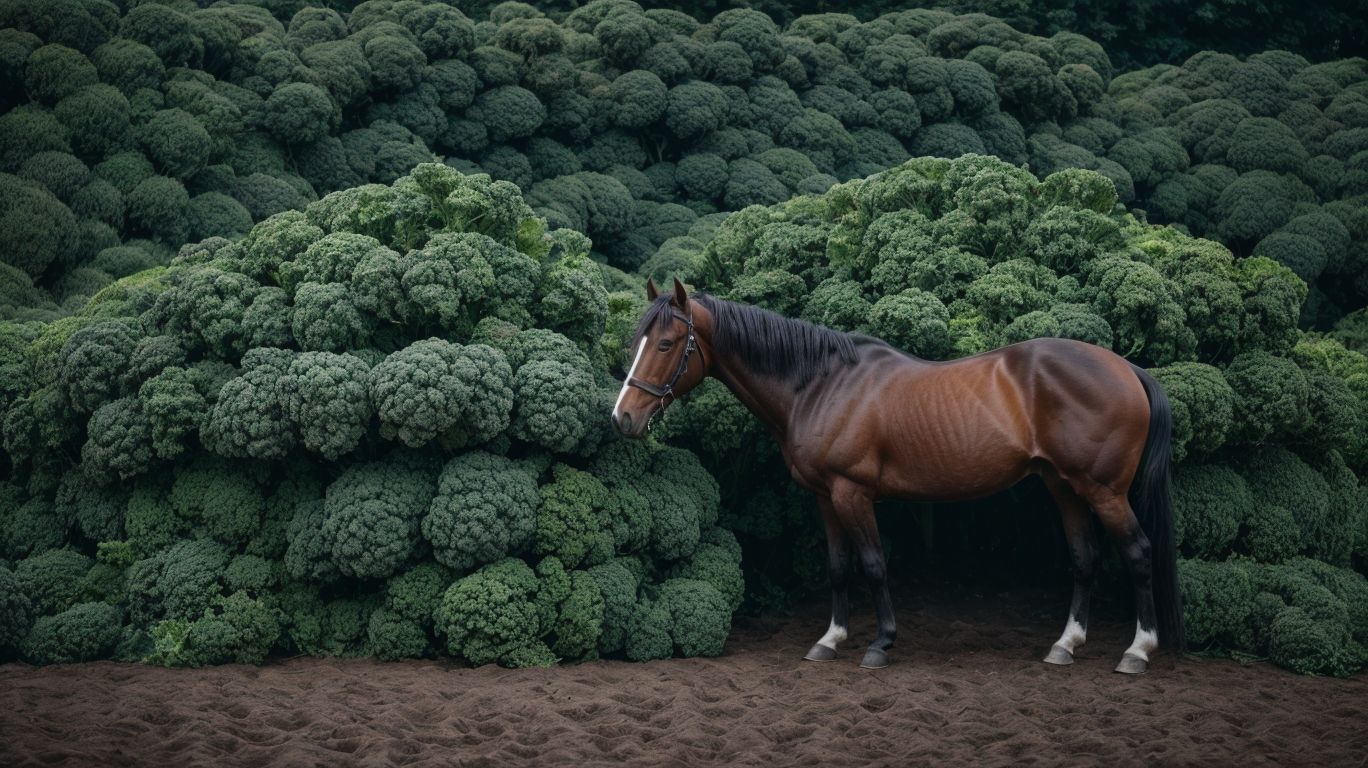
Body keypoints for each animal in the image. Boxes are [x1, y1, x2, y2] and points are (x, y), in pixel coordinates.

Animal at [612, 278, 1184, 674]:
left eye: (666, 344)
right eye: (640, 340)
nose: (623, 418)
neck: (819, 384)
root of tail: (1127, 369)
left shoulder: (852, 493)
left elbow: (873, 565)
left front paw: (880, 643)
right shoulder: (825, 498)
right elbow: (839, 567)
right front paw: (830, 640)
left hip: (1103, 491)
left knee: (1137, 552)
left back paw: (1138, 651)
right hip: (1063, 486)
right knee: (1085, 558)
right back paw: (1066, 645)